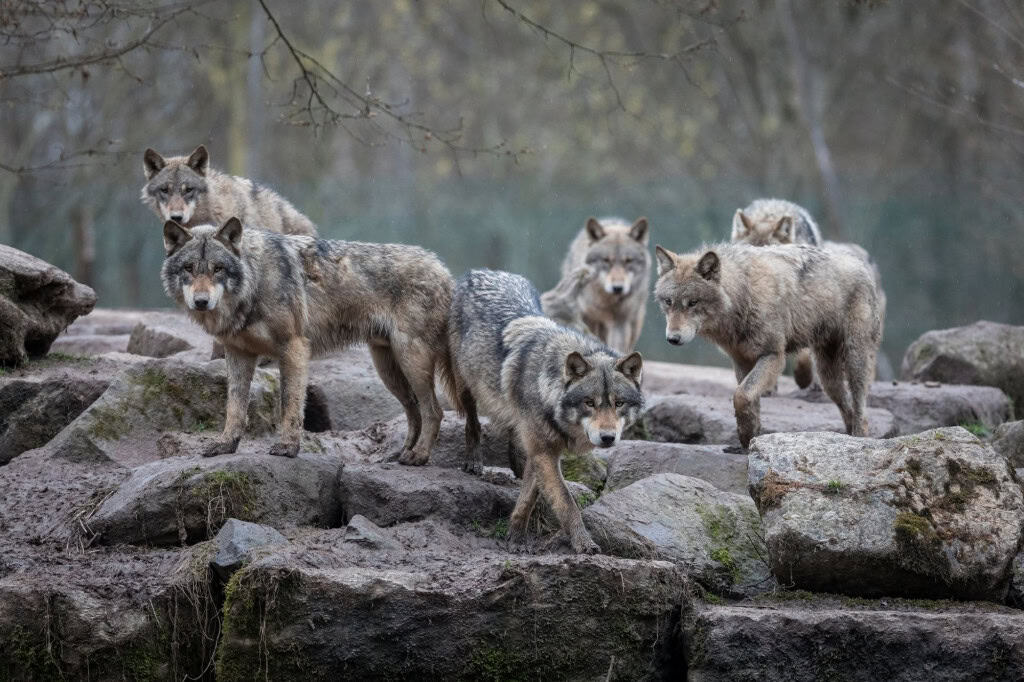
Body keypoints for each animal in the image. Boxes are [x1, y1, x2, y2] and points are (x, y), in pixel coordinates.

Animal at [161, 217, 455, 461]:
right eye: (189, 268)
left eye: (218, 269)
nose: (201, 301)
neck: (255, 282)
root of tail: (444, 269)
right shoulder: (238, 354)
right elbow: (235, 407)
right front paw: (225, 445)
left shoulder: (294, 348)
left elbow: (290, 403)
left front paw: (288, 447)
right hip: (388, 370)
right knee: (415, 411)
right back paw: (402, 453)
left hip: (411, 361)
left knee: (433, 411)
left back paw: (419, 456)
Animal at [449, 269, 645, 553]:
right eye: (590, 402)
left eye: (618, 403)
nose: (608, 438)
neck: (547, 387)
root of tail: (482, 271)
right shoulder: (545, 452)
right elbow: (566, 502)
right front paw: (583, 543)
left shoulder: (542, 452)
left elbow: (529, 496)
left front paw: (515, 536)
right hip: (466, 385)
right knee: (472, 421)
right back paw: (474, 460)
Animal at [559, 217, 650, 353]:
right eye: (606, 260)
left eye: (628, 261)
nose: (618, 288)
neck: (607, 302)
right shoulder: (588, 318)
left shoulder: (620, 322)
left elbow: (617, 346)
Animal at [654, 242, 881, 450]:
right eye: (668, 302)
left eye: (692, 303)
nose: (672, 338)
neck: (744, 295)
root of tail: (860, 263)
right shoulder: (742, 361)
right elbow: (748, 400)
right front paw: (749, 438)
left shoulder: (773, 356)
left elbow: (741, 395)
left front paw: (747, 436)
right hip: (828, 378)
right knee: (847, 406)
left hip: (854, 360)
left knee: (860, 407)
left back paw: (859, 439)